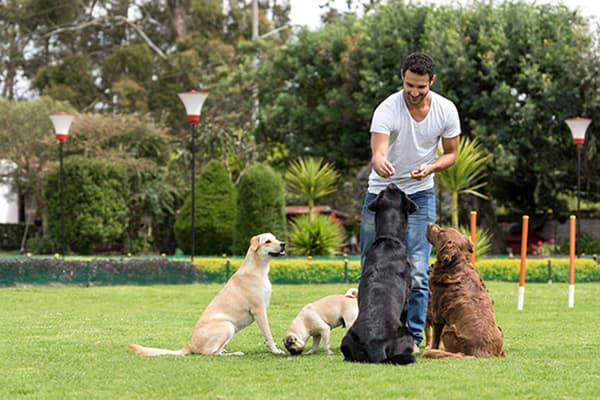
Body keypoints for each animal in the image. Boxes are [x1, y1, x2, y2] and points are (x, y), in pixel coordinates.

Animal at [128, 234, 286, 356]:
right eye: (268, 241)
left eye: (276, 238)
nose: (283, 244)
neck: (257, 269)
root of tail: (189, 344)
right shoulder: (259, 310)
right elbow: (268, 334)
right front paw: (275, 351)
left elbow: (265, 336)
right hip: (227, 326)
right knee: (213, 353)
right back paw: (235, 353)